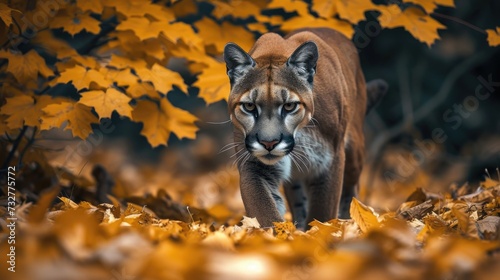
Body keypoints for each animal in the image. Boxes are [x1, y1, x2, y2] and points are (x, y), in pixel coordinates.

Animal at [223, 27, 386, 230]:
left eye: (289, 106)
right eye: (249, 106)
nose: (269, 143)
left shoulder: (330, 159)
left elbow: (322, 211)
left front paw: (319, 232)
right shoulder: (253, 165)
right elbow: (264, 210)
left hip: (354, 151)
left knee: (351, 190)